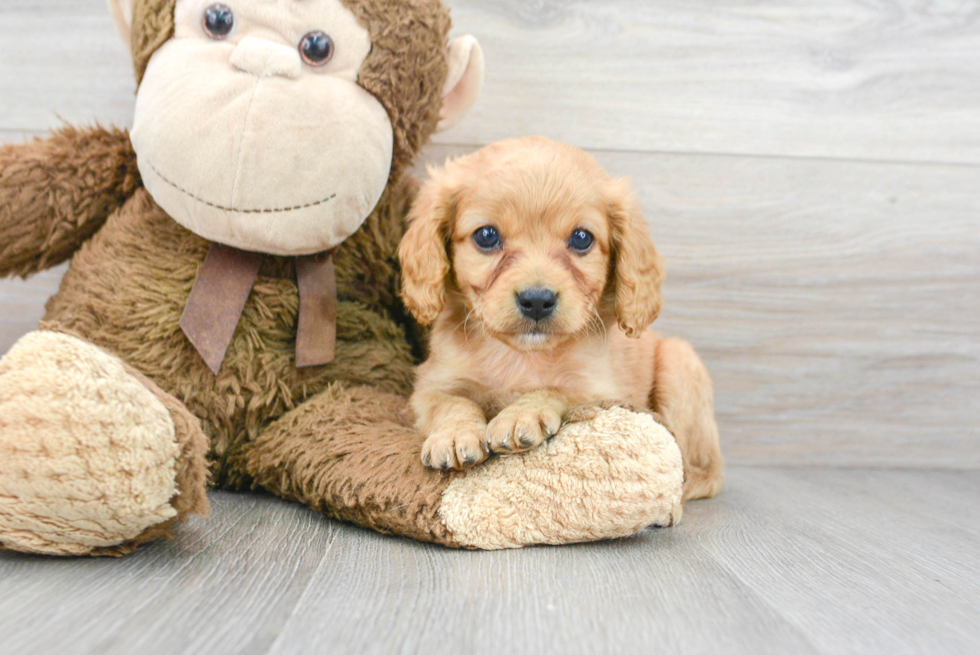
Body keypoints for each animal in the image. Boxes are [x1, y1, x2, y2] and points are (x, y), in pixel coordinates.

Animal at [394, 136, 724, 500]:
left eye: (581, 238)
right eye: (486, 236)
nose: (537, 301)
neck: (520, 357)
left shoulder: (600, 391)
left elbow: (558, 390)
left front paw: (521, 414)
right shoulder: (429, 385)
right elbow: (450, 403)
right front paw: (454, 435)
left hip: (681, 363)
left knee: (702, 468)